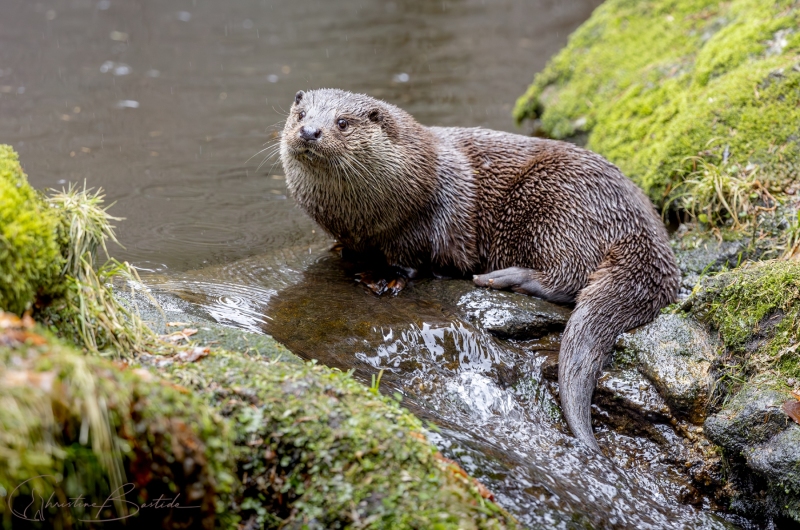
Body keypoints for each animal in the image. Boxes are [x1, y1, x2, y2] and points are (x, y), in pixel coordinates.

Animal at [278, 87, 680, 450]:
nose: (309, 131)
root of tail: (643, 225)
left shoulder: (427, 221)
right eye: (301, 115)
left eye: (342, 123)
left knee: (571, 278)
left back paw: (503, 278)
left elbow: (414, 259)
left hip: (558, 207)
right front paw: (345, 255)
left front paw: (385, 276)